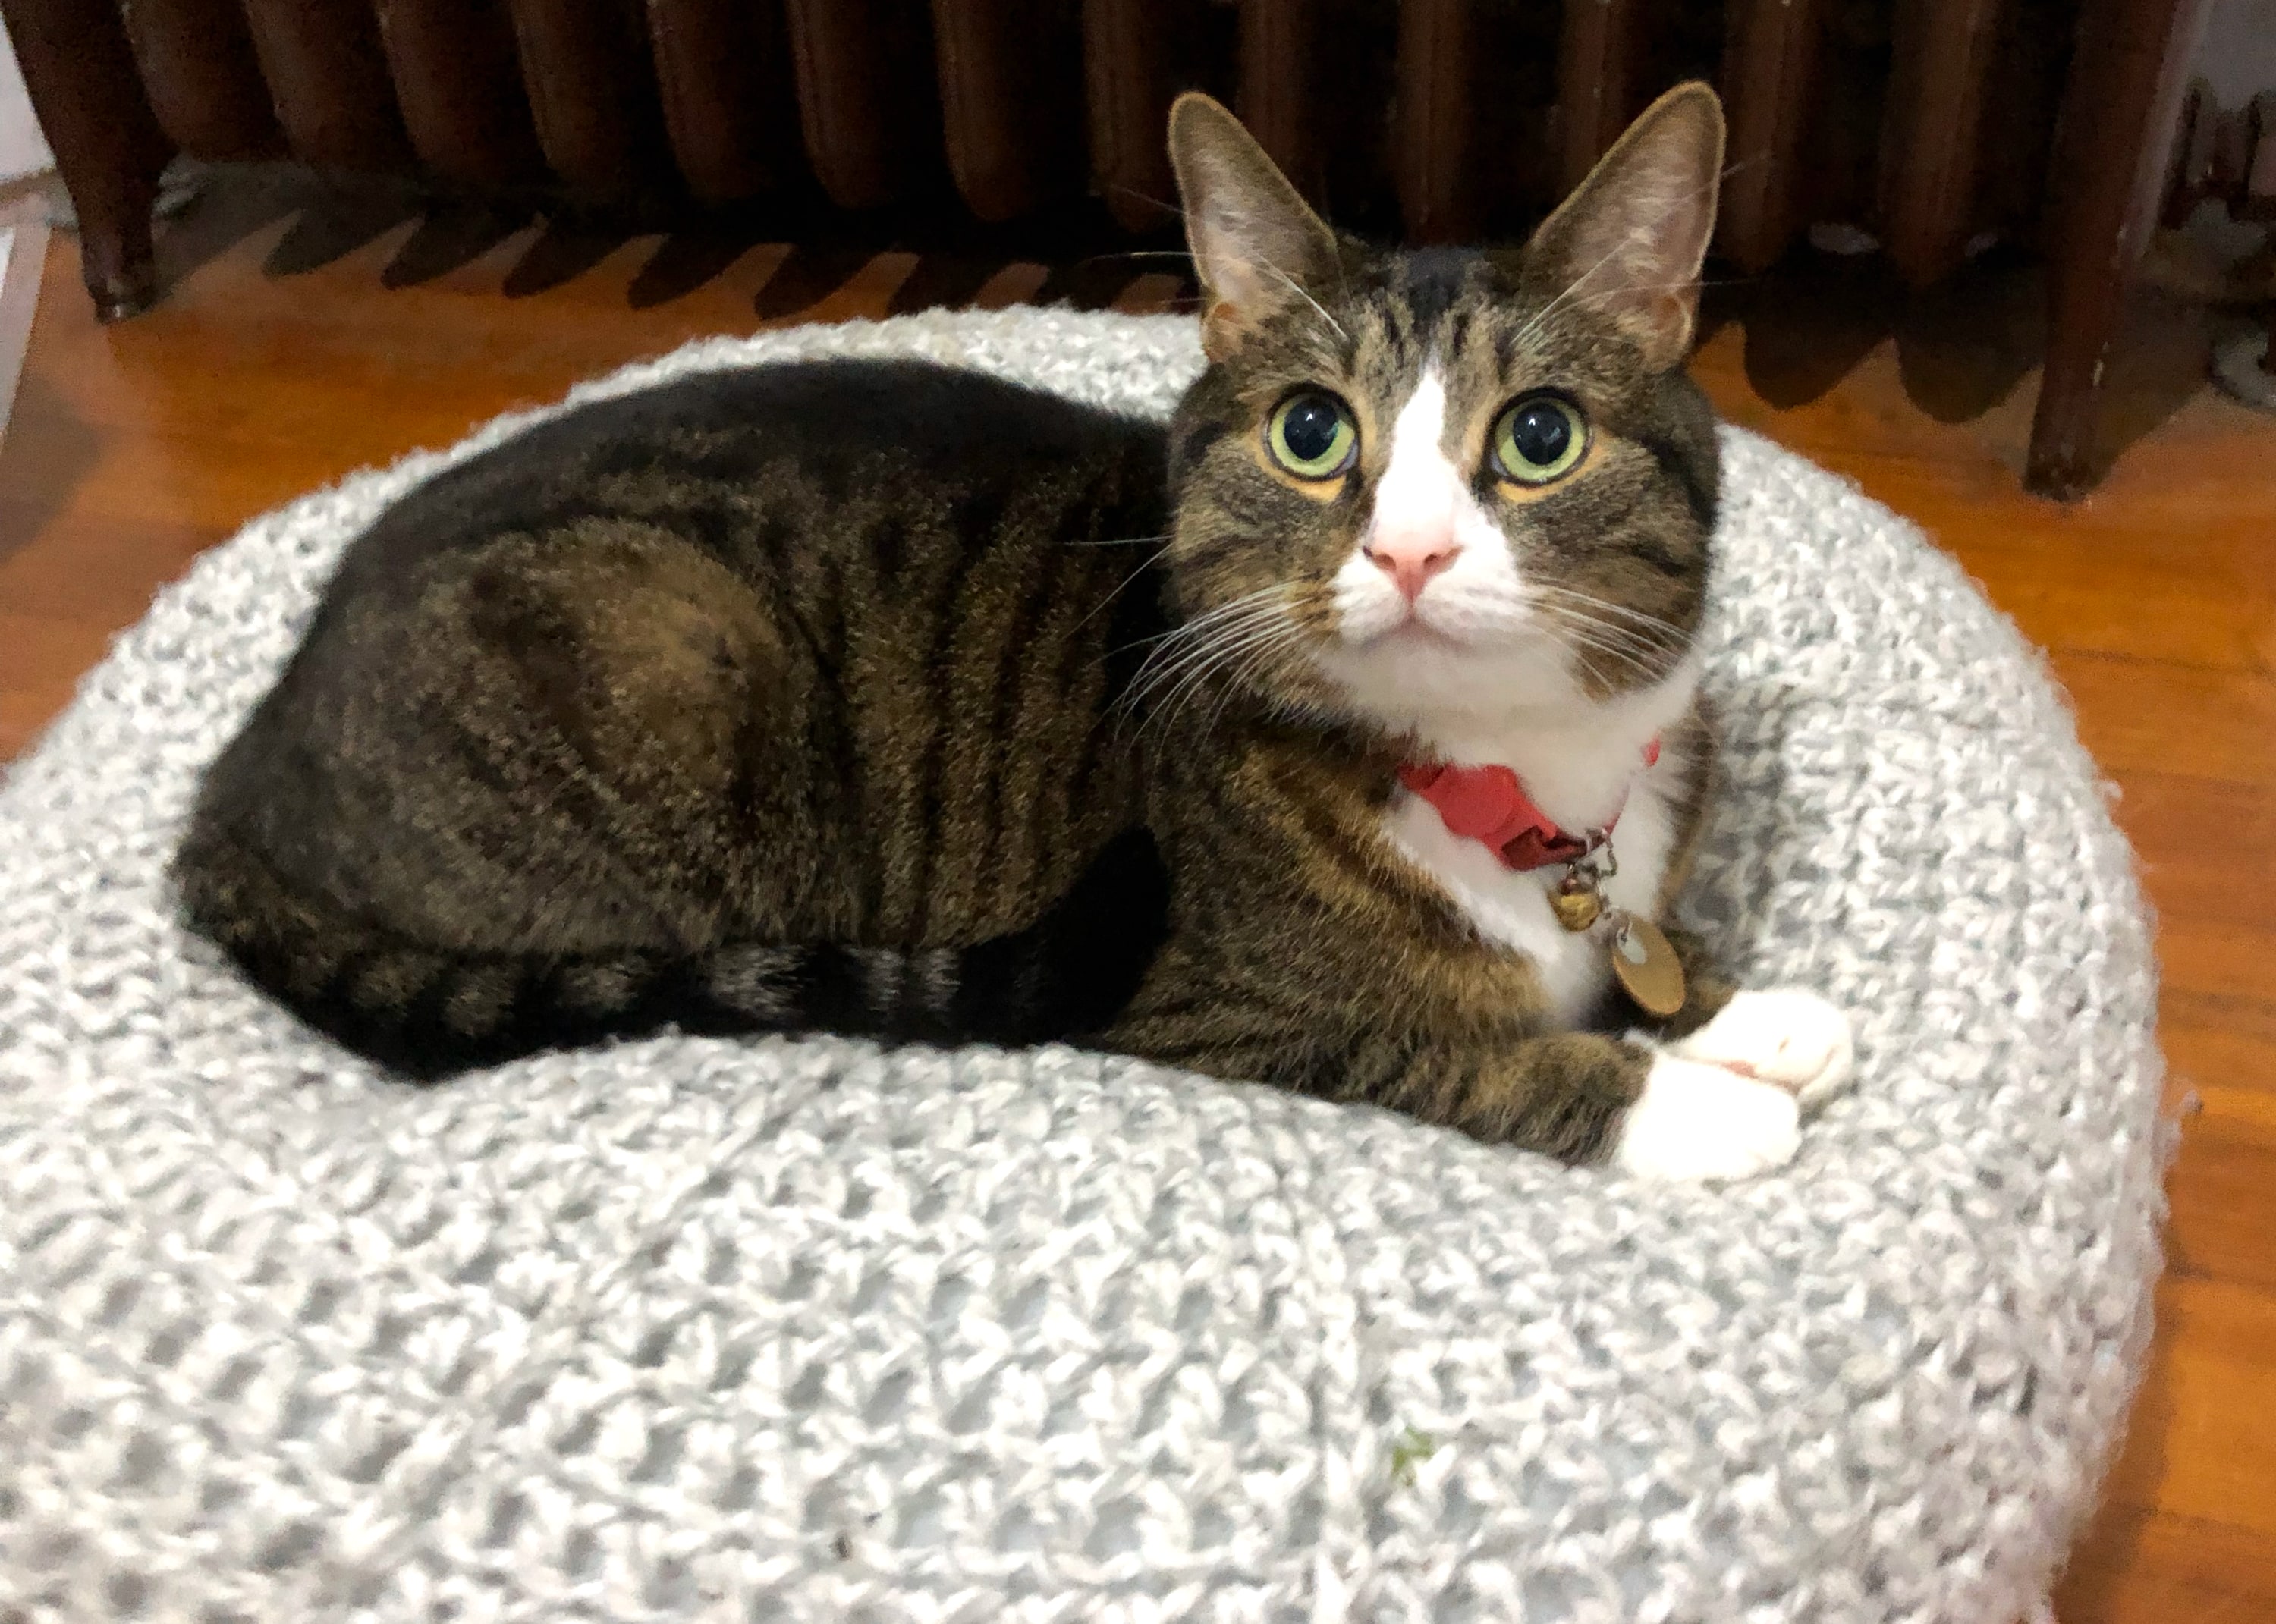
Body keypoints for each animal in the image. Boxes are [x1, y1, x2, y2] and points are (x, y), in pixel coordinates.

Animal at [178, 85, 1848, 1173]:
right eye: (1314, 432)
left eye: (1541, 436)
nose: (1414, 548)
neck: (1519, 781)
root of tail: (241, 765)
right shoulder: (1214, 1005)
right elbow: (1464, 1049)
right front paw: (1692, 1097)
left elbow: (1651, 959)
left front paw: (1746, 1010)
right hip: (674, 659)